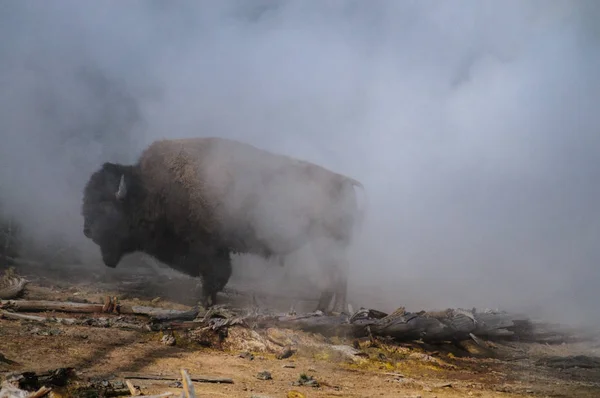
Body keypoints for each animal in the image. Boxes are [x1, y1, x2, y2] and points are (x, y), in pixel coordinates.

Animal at [82, 137, 366, 310]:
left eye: (105, 206)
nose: (86, 231)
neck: (150, 188)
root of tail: (344, 181)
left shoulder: (208, 248)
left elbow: (215, 276)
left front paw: (205, 303)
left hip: (327, 243)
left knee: (337, 276)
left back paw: (330, 311)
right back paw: (323, 310)